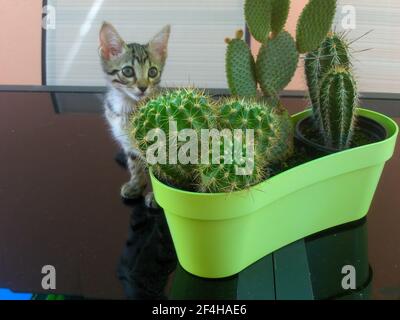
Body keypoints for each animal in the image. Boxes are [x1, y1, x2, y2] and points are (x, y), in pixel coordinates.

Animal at [99, 23, 170, 208]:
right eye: (127, 71)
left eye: (152, 72)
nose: (143, 87)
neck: (127, 108)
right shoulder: (127, 143)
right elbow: (135, 165)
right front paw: (136, 186)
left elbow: (160, 173)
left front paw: (156, 198)